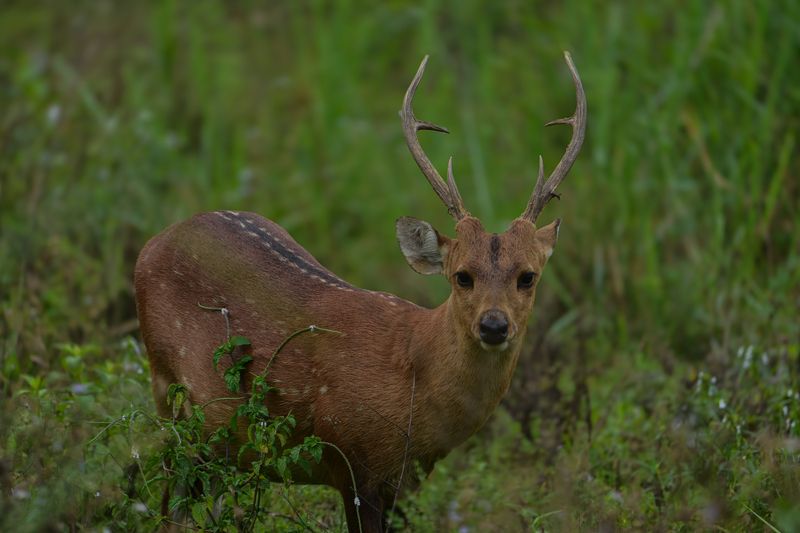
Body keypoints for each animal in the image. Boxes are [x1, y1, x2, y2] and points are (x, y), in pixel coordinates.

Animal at [134, 51, 585, 532]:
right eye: (462, 276)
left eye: (528, 276)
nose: (495, 325)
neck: (415, 376)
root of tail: (152, 243)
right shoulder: (354, 462)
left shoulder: (407, 481)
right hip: (168, 392)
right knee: (168, 505)